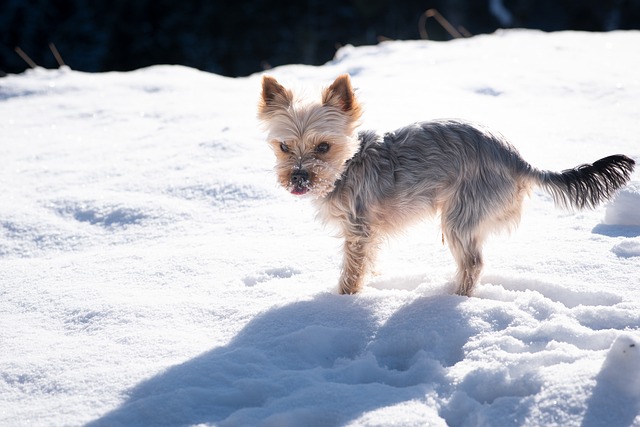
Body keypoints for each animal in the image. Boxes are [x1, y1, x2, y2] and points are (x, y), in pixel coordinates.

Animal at [256, 73, 636, 296]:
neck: (347, 166)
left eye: (323, 147)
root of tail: (516, 158)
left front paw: (344, 299)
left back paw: (452, 298)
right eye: (284, 147)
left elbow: (352, 267)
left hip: (461, 212)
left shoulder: (358, 226)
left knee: (473, 262)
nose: (299, 177)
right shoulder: (369, 233)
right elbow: (369, 259)